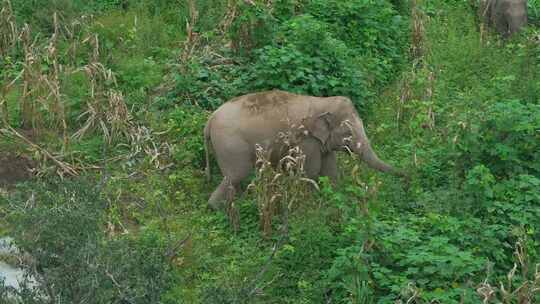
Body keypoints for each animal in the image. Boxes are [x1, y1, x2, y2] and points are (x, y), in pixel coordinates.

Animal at [205, 89, 408, 210]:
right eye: (348, 133)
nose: (409, 175)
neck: (323, 102)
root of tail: (209, 120)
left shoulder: (321, 143)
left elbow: (330, 170)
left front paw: (335, 196)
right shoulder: (306, 141)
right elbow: (310, 172)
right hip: (230, 145)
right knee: (236, 175)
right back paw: (218, 208)